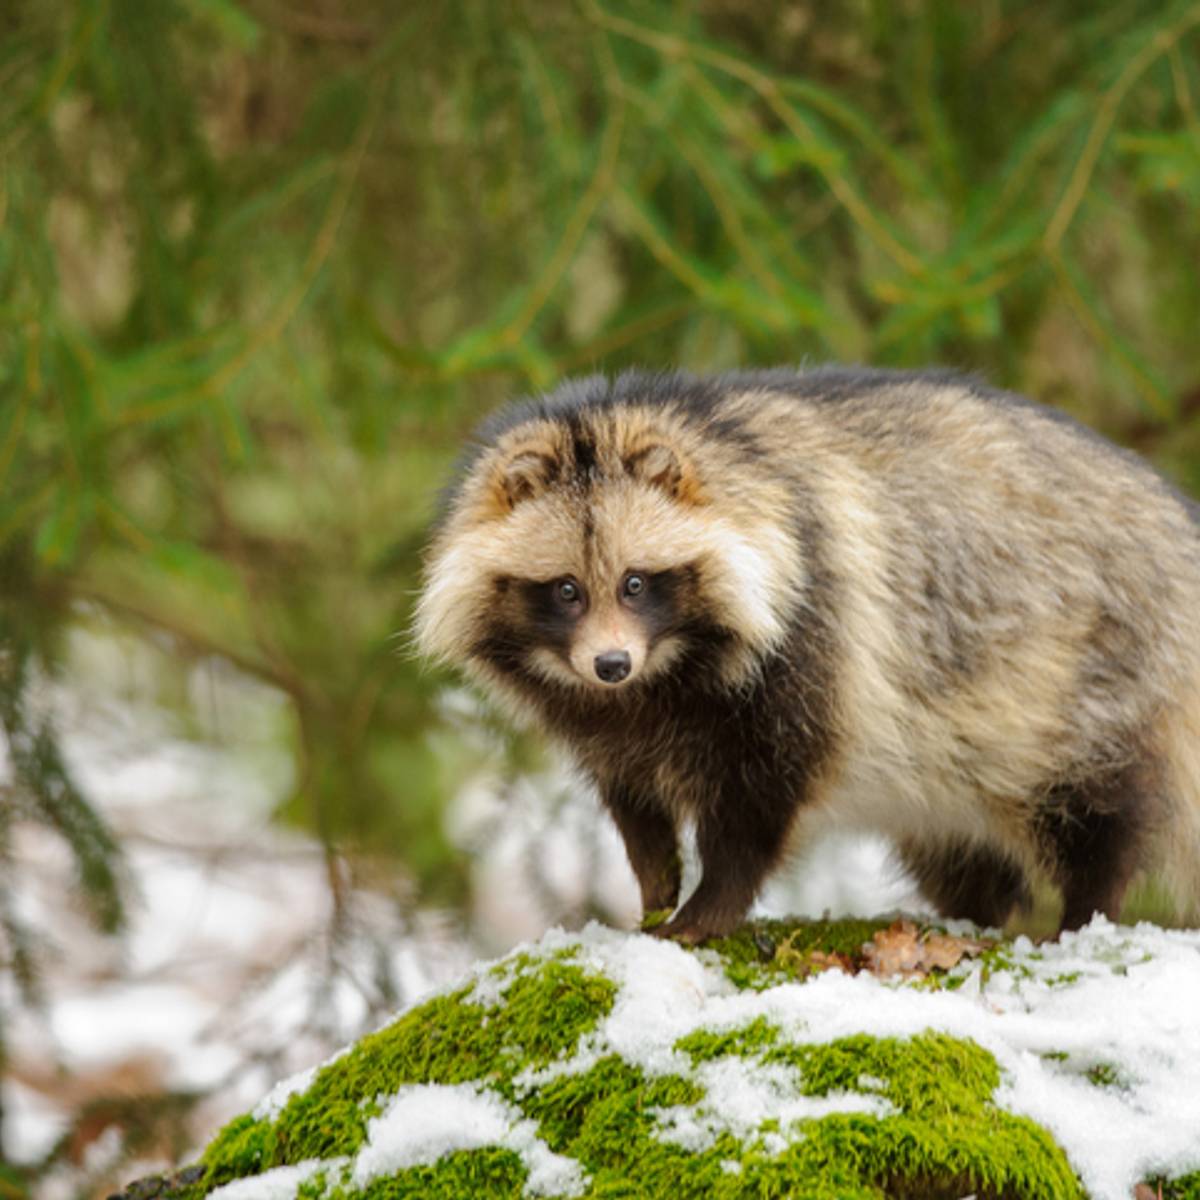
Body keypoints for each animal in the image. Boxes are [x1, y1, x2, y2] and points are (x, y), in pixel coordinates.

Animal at [415, 367, 1200, 942]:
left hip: (1089, 678)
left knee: (1097, 810)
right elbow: (632, 795)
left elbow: (761, 797)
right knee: (960, 850)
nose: (611, 665)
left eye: (636, 582)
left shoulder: (815, 631)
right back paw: (972, 914)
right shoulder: (603, 718)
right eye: (567, 590)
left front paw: (709, 905)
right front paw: (655, 882)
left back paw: (1085, 914)